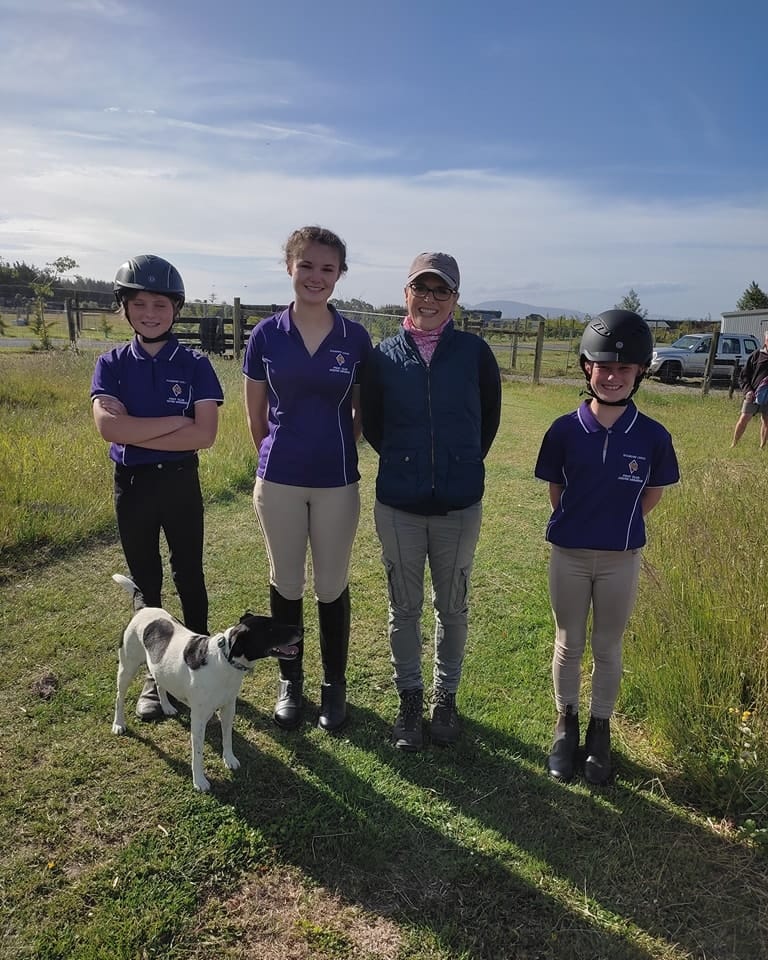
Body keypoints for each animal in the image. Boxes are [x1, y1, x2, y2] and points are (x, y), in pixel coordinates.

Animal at [111, 574, 302, 792]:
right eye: (271, 630)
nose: (301, 629)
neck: (225, 662)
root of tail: (143, 608)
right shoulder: (199, 719)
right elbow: (198, 754)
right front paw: (199, 781)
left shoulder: (228, 708)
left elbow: (227, 738)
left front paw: (229, 759)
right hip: (127, 668)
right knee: (119, 698)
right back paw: (118, 724)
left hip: (158, 666)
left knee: (159, 683)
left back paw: (166, 707)